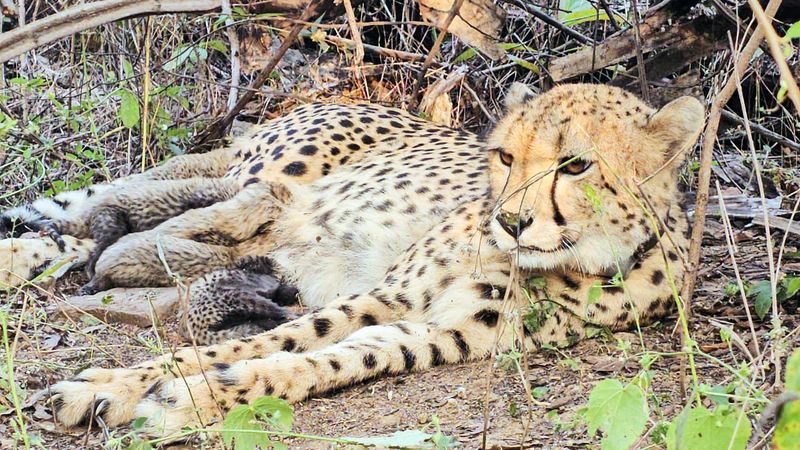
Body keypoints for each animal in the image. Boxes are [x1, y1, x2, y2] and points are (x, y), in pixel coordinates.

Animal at [0, 83, 704, 439]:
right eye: (506, 157)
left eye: (576, 164)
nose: (509, 222)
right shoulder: (389, 294)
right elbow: (263, 341)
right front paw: (112, 385)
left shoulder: (439, 332)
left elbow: (320, 361)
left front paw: (188, 398)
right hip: (269, 173)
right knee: (101, 213)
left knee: (102, 231)